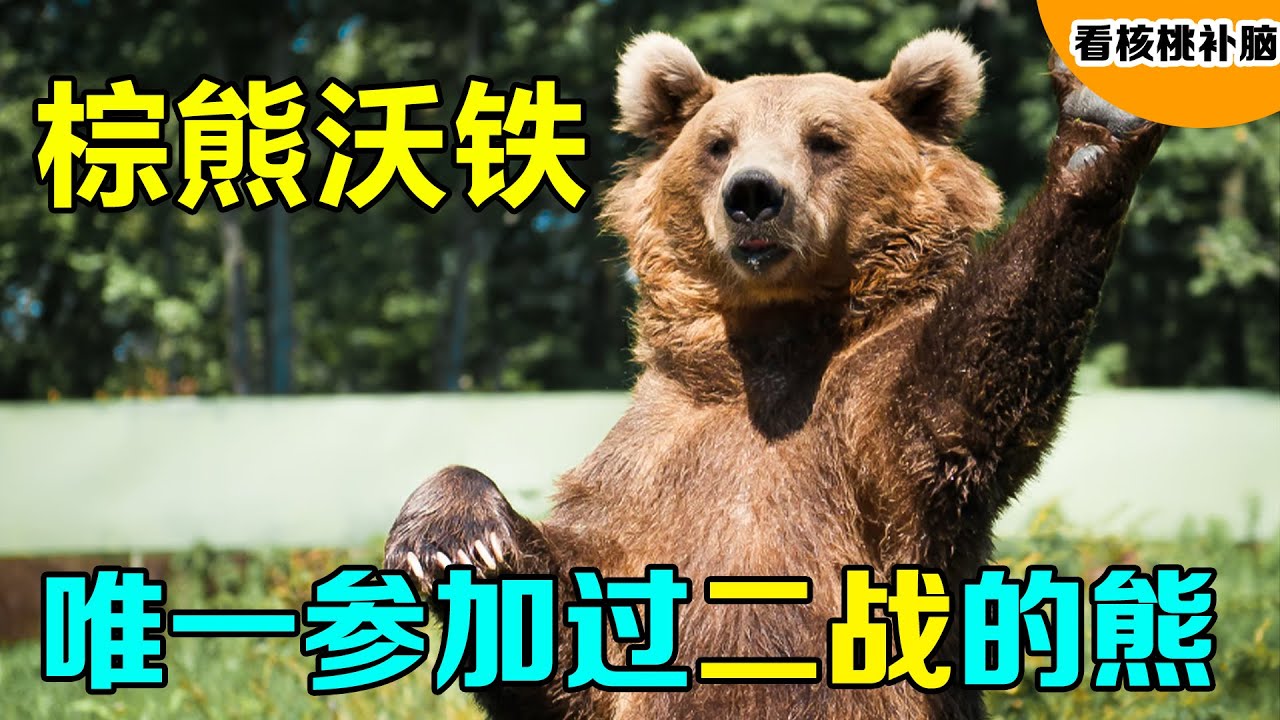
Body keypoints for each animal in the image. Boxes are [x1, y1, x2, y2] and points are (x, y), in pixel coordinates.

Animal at [384, 30, 1166, 720]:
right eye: (718, 142)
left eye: (825, 139)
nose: (754, 194)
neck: (766, 357)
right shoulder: (649, 464)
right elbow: (575, 622)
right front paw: (454, 535)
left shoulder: (866, 438)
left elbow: (954, 403)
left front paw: (1099, 114)